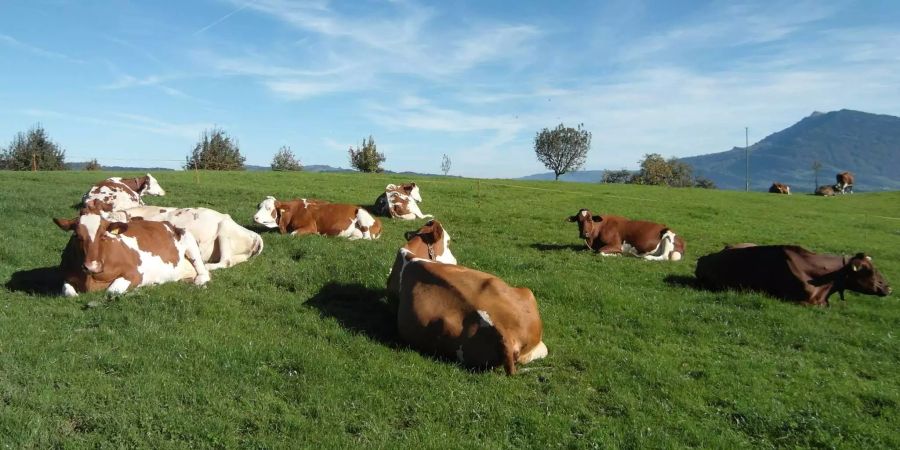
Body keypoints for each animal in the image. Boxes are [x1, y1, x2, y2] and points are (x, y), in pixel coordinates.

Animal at [55, 209, 211, 298]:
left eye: (103, 235)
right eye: (76, 235)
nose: (92, 266)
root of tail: (168, 224)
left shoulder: (135, 273)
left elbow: (112, 291)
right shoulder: (66, 277)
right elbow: (69, 293)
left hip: (190, 241)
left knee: (204, 273)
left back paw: (198, 282)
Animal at [251, 196, 382, 239]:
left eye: (269, 208)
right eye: (259, 206)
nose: (254, 217)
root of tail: (378, 220)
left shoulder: (310, 226)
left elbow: (293, 234)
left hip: (361, 214)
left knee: (367, 238)